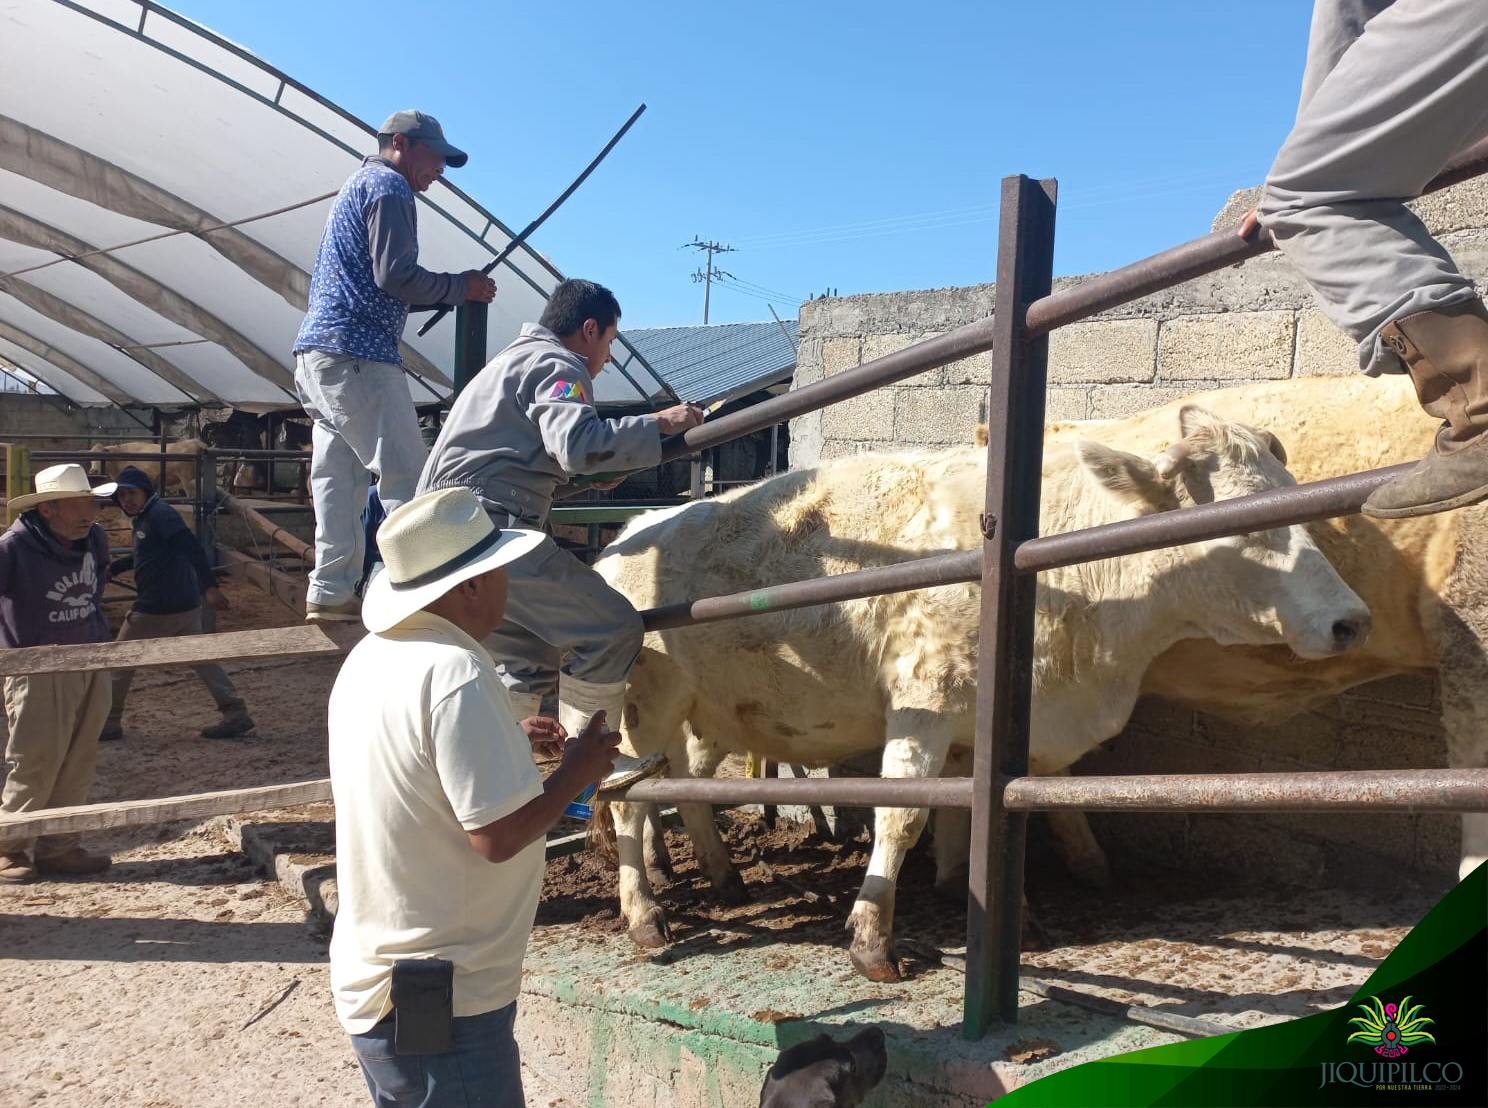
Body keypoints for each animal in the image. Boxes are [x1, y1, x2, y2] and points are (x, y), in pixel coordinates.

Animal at [592, 401, 1368, 981]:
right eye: (1243, 526)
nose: (1351, 620)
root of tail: (628, 534)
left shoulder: (999, 722)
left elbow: (989, 810)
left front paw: (1001, 902)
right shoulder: (924, 703)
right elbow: (901, 818)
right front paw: (872, 940)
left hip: (703, 709)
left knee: (687, 785)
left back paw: (724, 877)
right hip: (645, 706)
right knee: (630, 801)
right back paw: (645, 916)